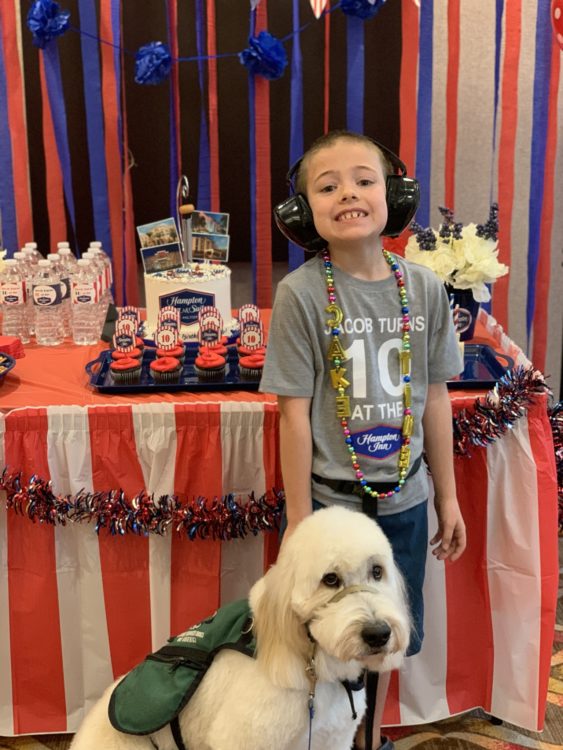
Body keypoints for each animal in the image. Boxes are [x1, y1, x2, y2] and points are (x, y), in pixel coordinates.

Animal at [72, 506, 412, 750]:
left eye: (377, 572)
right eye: (330, 579)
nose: (378, 634)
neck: (314, 666)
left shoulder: (331, 740)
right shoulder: (242, 739)